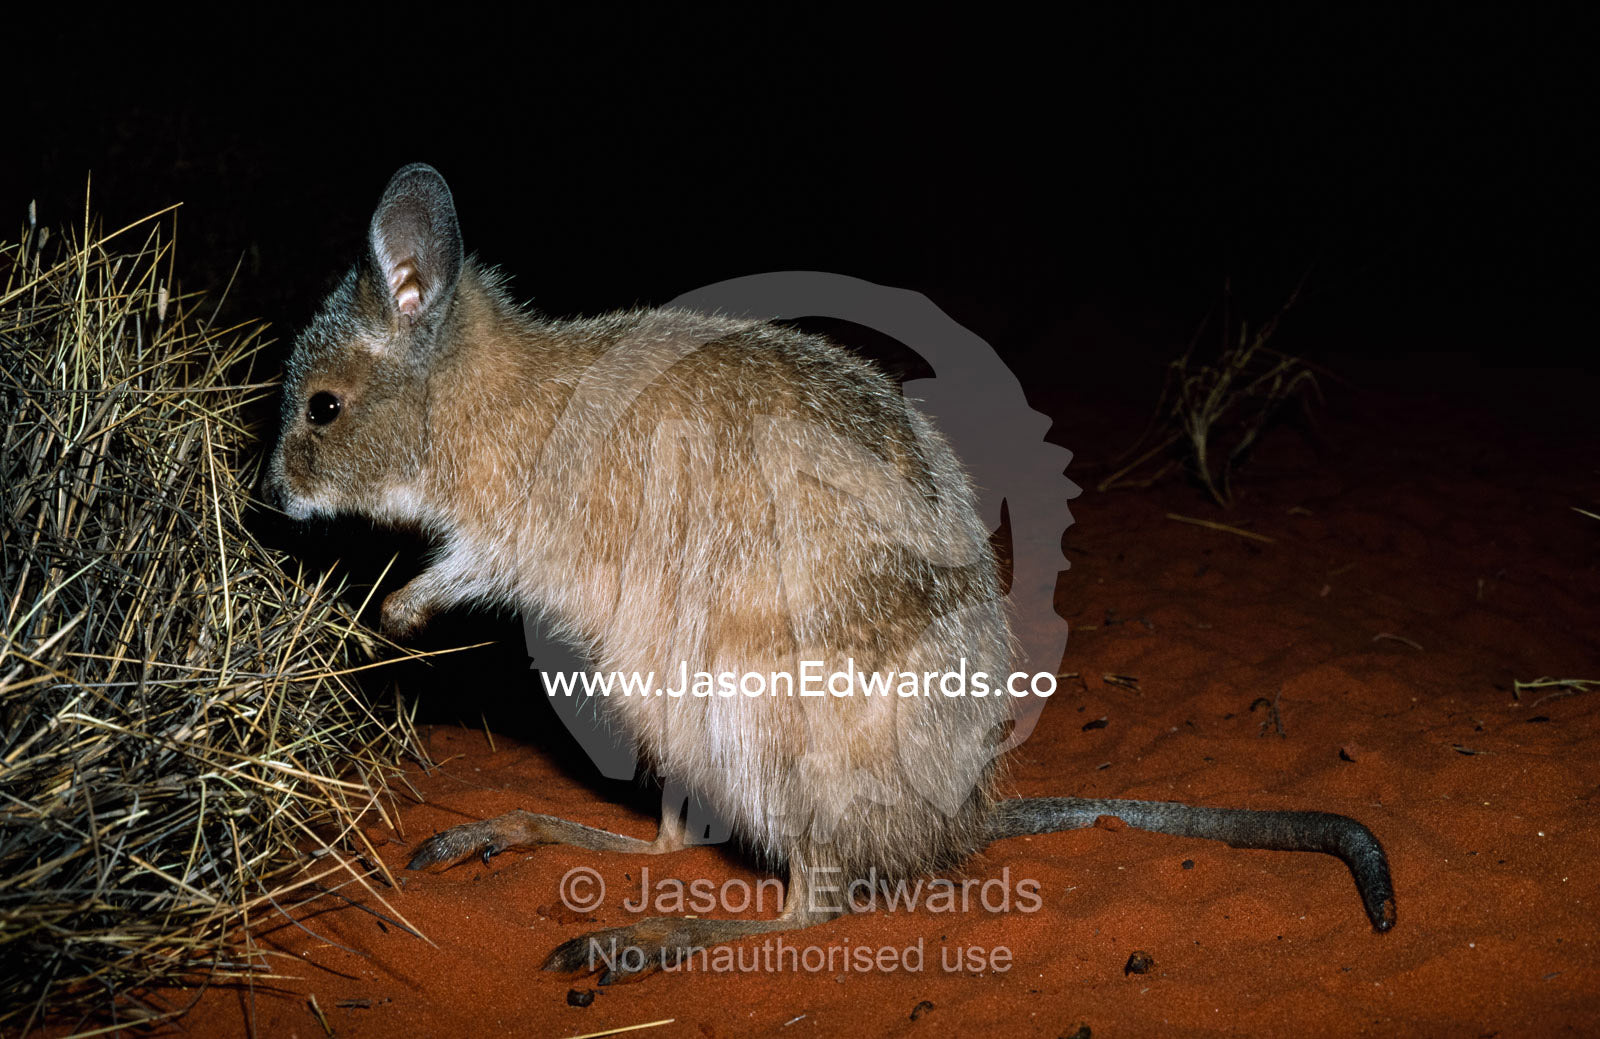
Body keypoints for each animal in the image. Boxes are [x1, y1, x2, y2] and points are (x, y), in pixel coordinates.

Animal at [264, 163, 1394, 983]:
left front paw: (391, 615)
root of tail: (953, 817)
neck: (479, 399)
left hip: (756, 713)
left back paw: (632, 942)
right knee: (678, 847)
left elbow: (462, 567)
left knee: (811, 904)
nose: (269, 499)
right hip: (666, 712)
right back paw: (504, 836)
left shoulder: (516, 530)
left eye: (321, 408)